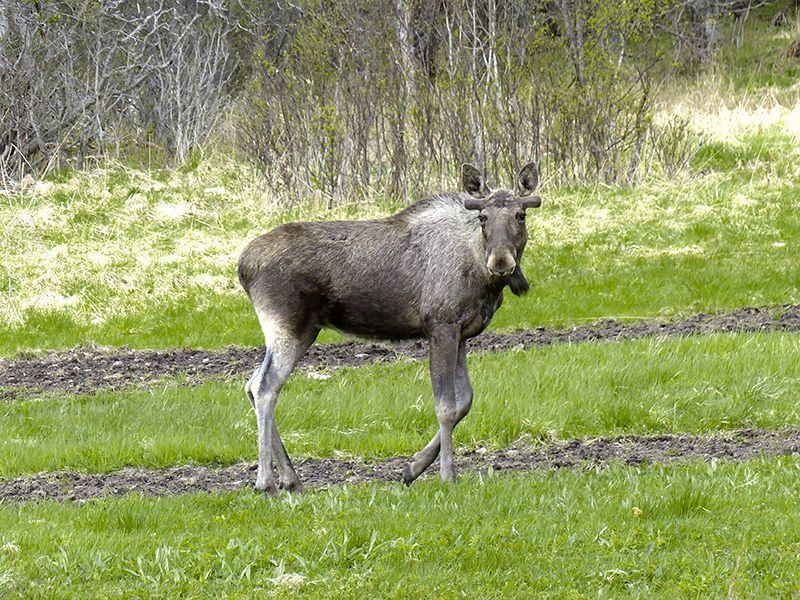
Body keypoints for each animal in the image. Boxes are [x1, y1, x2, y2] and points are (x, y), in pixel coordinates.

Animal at [234, 162, 540, 494]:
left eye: (520, 215)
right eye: (483, 217)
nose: (501, 262)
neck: (481, 273)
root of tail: (242, 266)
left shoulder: (461, 333)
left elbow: (465, 402)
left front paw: (413, 467)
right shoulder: (441, 326)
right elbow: (446, 406)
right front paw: (447, 475)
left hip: (303, 331)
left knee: (251, 384)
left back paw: (292, 479)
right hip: (288, 326)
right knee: (265, 387)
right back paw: (266, 482)